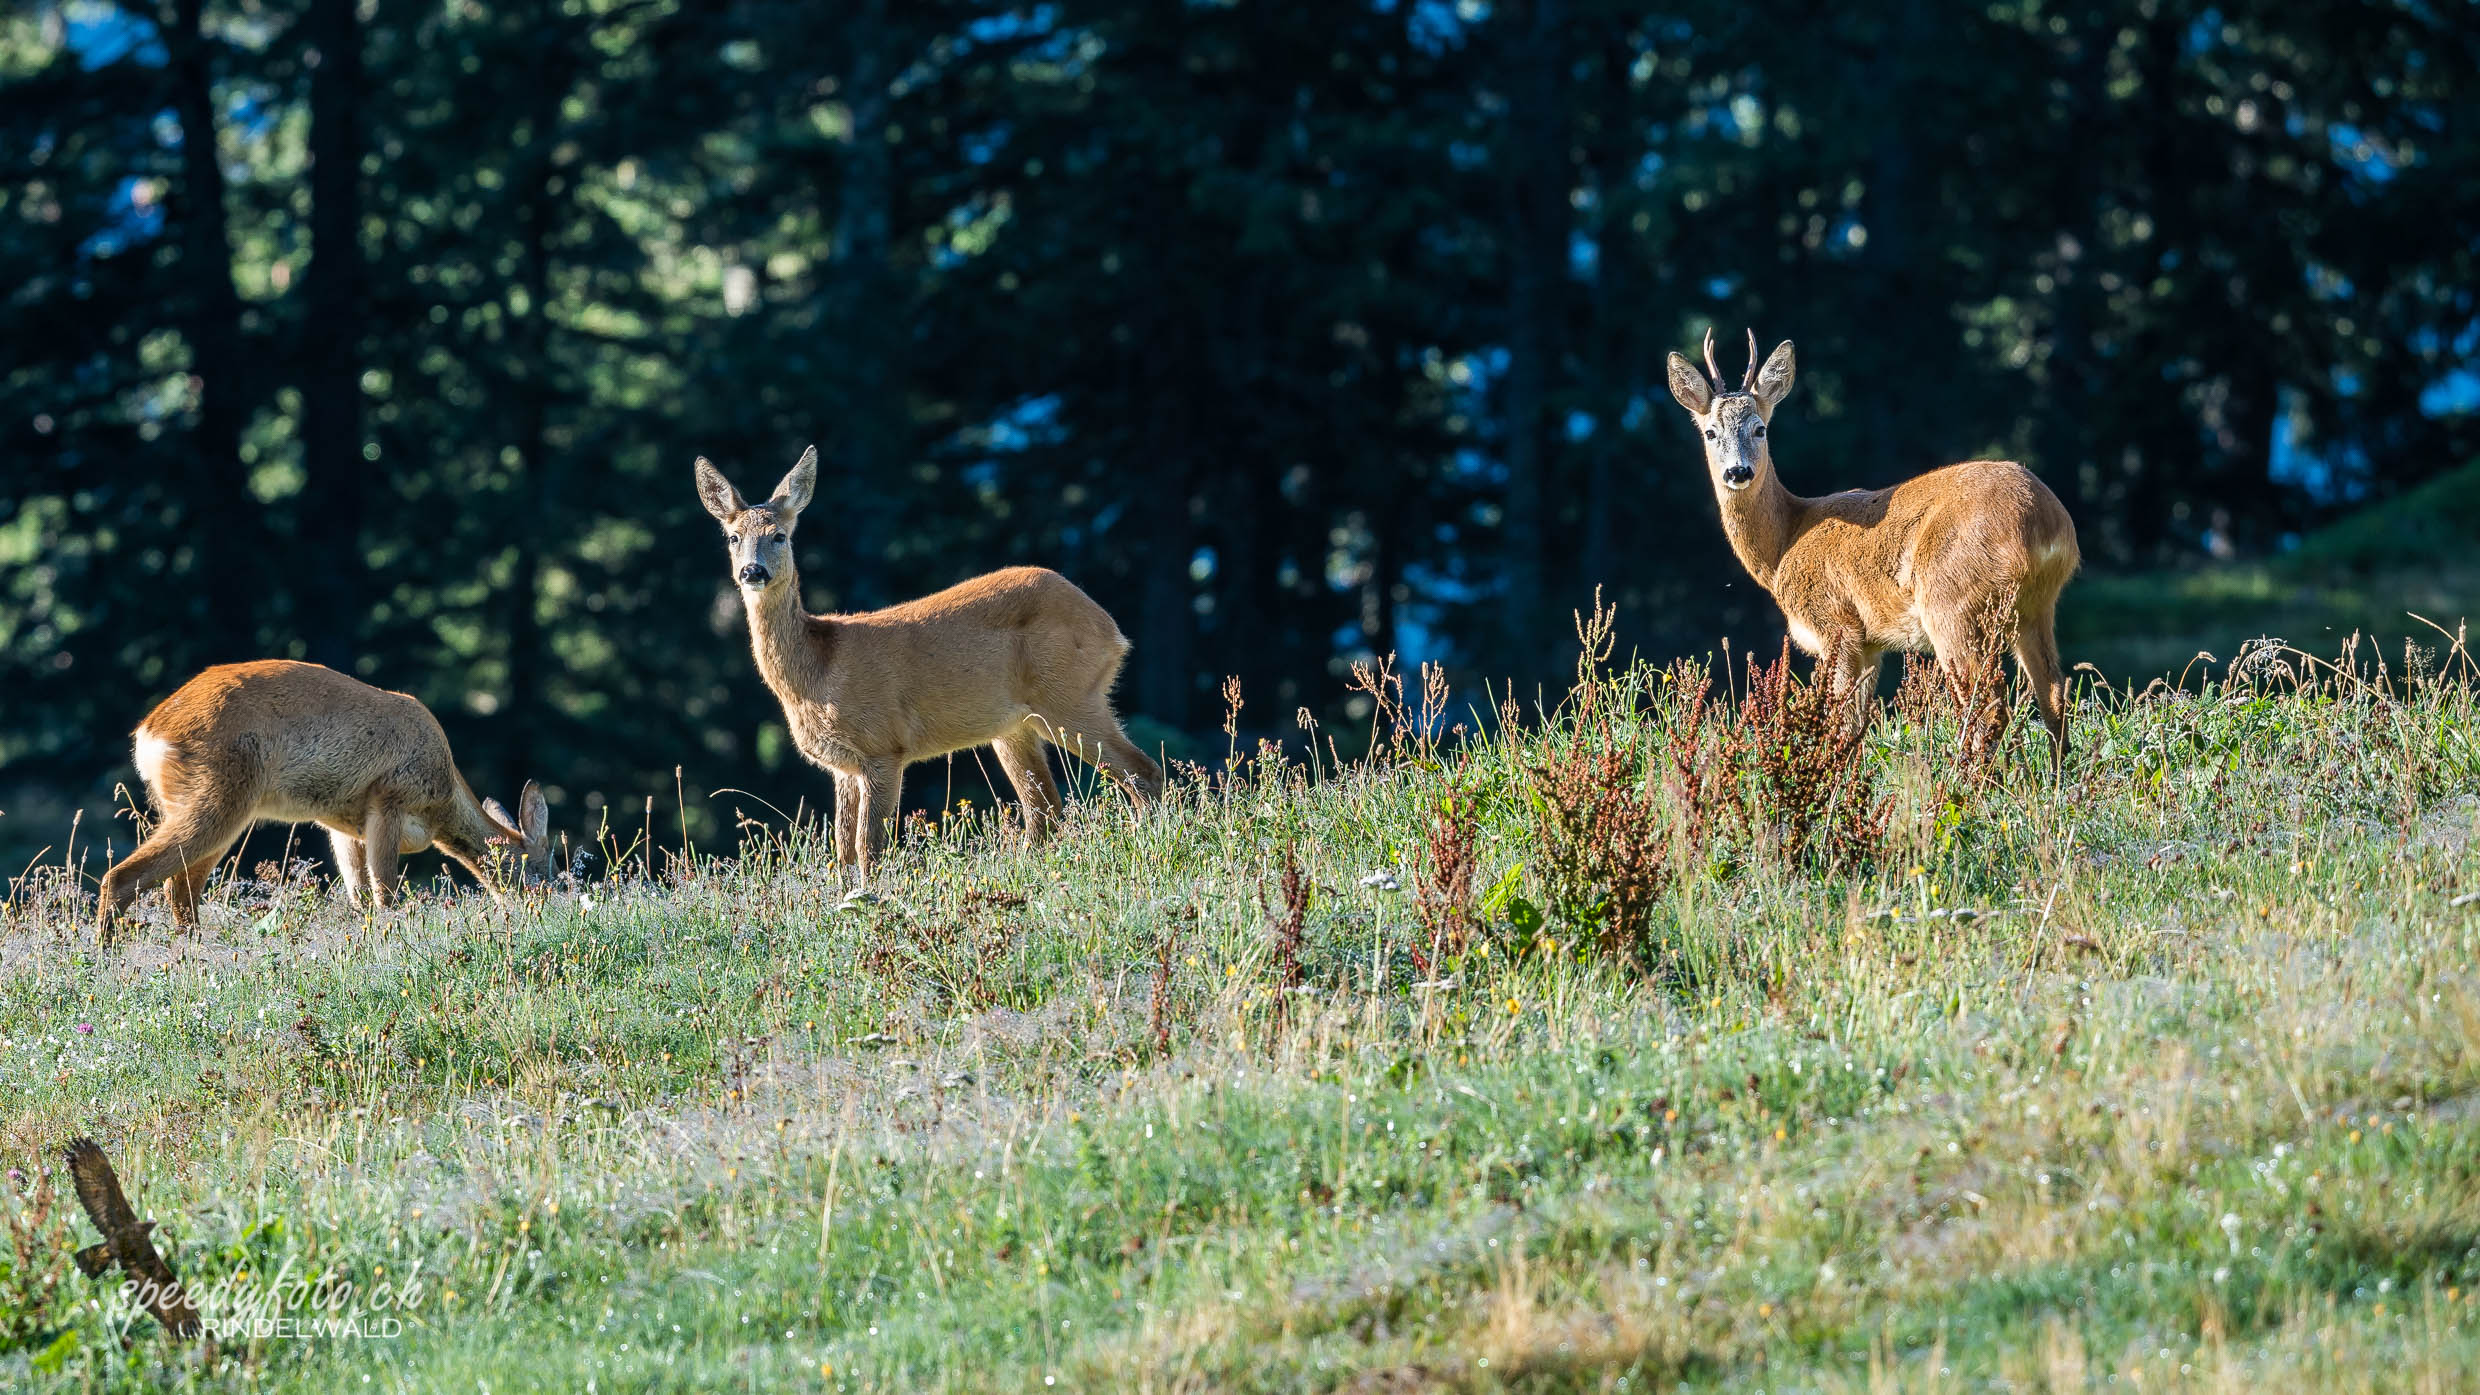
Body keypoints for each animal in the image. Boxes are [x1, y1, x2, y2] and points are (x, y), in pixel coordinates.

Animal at [94, 655, 550, 938]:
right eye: (541, 866)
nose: (549, 903)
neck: (440, 806)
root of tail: (150, 732)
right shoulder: (390, 799)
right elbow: (386, 894)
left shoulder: (346, 824)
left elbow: (360, 896)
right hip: (220, 795)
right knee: (125, 877)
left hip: (203, 805)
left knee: (180, 889)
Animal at [699, 439, 1160, 873]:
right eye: (733, 538)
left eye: (780, 535)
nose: (752, 572)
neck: (817, 668)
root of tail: (1110, 628)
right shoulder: (843, 767)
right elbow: (843, 852)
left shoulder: (883, 745)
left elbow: (869, 849)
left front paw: (872, 897)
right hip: (1015, 725)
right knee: (1045, 809)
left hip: (1068, 694)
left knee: (1141, 771)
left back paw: (1148, 846)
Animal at [1656, 327, 2083, 754]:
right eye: (1711, 432)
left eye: (1759, 428)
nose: (1738, 471)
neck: (1784, 544)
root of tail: (2044, 521)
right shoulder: (1870, 643)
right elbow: (1857, 726)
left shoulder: (1836, 625)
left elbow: (1840, 725)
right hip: (2035, 606)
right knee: (2053, 694)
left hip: (1952, 601)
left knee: (1989, 709)